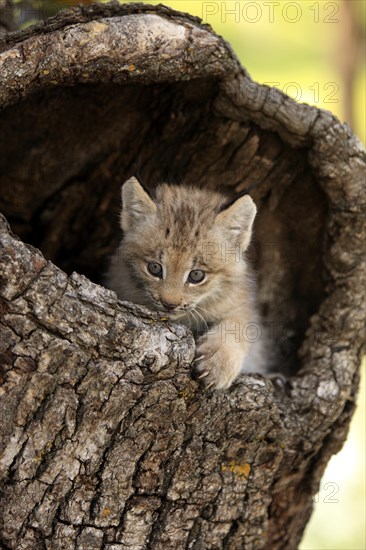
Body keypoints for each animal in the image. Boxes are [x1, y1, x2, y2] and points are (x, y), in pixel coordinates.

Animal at [106, 179, 266, 390]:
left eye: (197, 275)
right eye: (154, 268)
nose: (169, 304)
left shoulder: (242, 303)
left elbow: (242, 323)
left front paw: (218, 363)